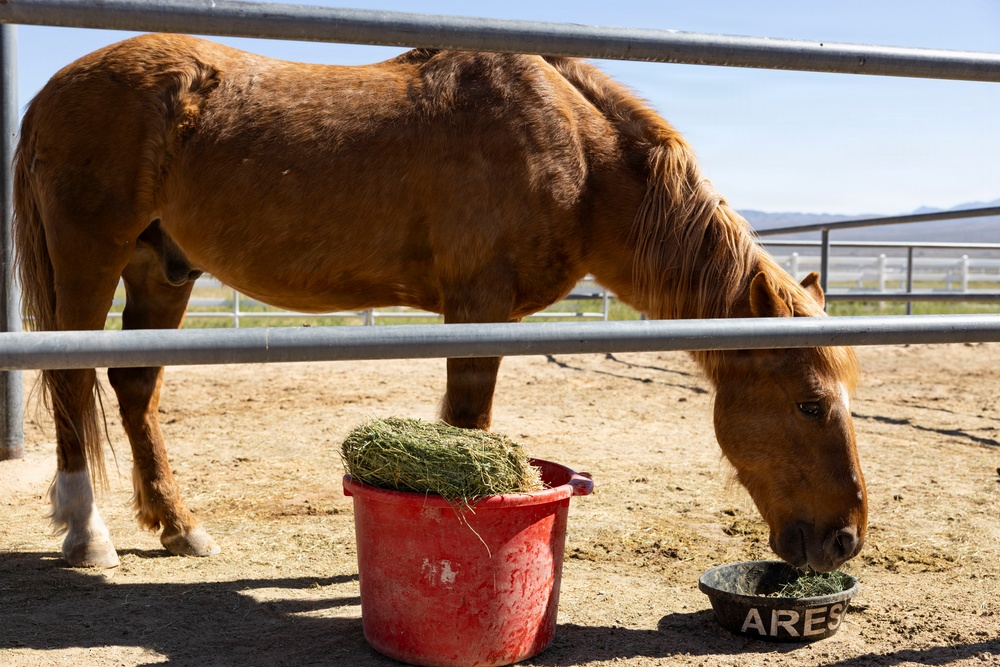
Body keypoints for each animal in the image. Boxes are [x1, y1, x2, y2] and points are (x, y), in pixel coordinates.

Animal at [13, 34, 865, 572]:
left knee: (135, 388)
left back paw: (180, 527)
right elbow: (466, 424)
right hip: (90, 260)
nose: (846, 540)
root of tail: (53, 90)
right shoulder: (479, 305)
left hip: (162, 271)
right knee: (71, 385)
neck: (578, 151)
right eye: (810, 405)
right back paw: (87, 534)